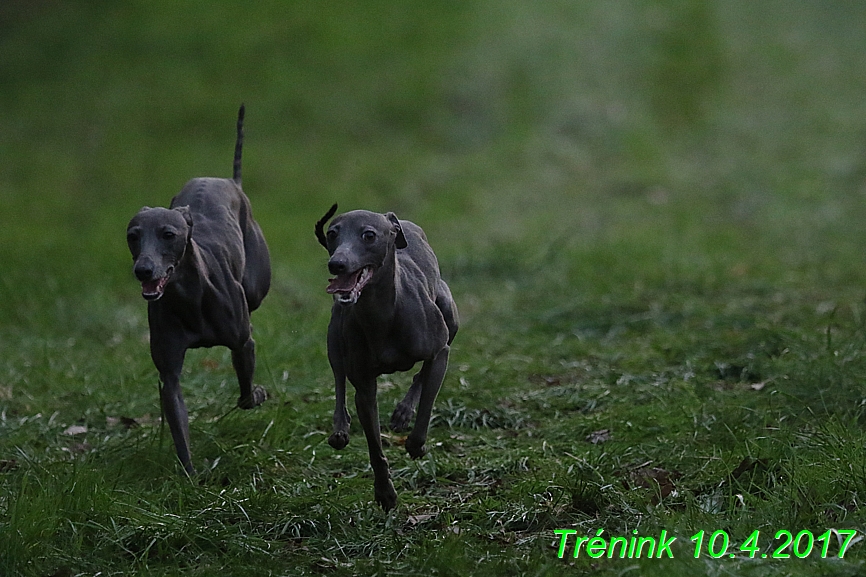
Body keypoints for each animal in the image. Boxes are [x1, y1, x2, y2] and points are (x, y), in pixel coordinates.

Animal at [125, 104, 270, 472]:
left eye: (168, 234)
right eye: (133, 236)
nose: (143, 270)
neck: (188, 297)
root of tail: (228, 180)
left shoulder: (242, 342)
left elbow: (246, 395)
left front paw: (258, 394)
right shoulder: (169, 374)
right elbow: (177, 420)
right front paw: (189, 476)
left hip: (256, 286)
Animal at [314, 205, 456, 510]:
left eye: (369, 235)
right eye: (332, 234)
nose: (336, 264)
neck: (382, 313)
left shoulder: (440, 350)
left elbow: (427, 401)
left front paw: (415, 442)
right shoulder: (365, 386)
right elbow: (374, 444)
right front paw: (384, 492)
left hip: (450, 315)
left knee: (421, 373)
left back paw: (403, 413)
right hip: (334, 335)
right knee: (339, 377)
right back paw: (340, 428)